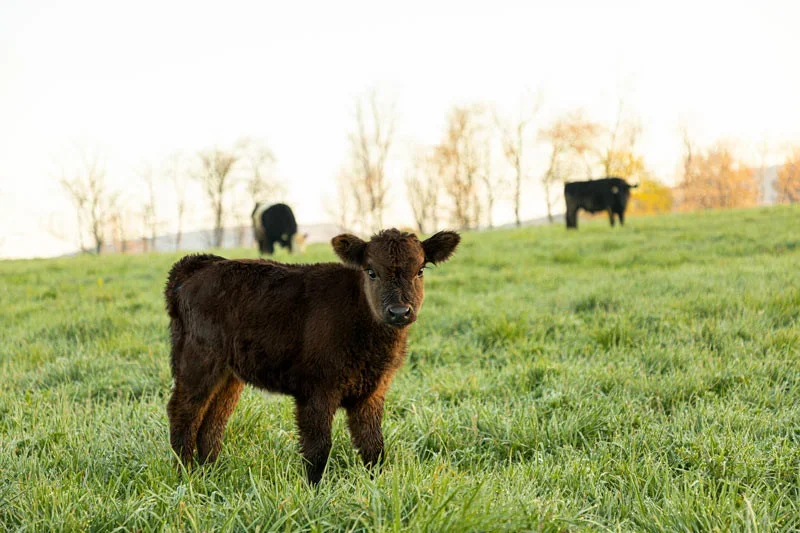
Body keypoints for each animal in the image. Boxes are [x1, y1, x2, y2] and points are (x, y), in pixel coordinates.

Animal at [164, 228, 460, 483]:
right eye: (372, 271)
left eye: (420, 270)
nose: (399, 312)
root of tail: (199, 265)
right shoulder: (317, 390)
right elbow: (318, 447)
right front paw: (314, 490)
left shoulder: (372, 391)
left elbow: (373, 445)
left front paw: (377, 487)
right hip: (198, 361)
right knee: (184, 412)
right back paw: (185, 475)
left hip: (229, 374)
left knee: (213, 420)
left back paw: (210, 473)